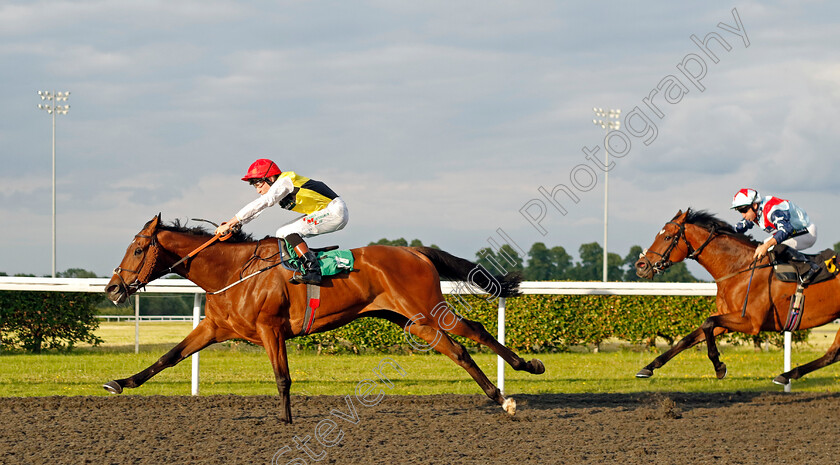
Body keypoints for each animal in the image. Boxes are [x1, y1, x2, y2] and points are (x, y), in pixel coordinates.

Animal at [103, 216, 544, 422]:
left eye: (138, 249)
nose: (112, 288)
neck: (233, 272)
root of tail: (416, 251)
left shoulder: (270, 328)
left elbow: (282, 377)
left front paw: (285, 420)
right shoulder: (214, 328)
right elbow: (169, 357)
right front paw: (119, 383)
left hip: (423, 311)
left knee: (472, 336)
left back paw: (518, 382)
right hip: (410, 320)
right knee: (460, 347)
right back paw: (506, 389)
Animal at [632, 208, 840, 386]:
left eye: (667, 237)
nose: (641, 265)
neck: (739, 267)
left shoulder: (751, 322)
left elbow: (708, 322)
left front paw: (719, 367)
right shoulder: (727, 319)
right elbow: (689, 338)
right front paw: (648, 368)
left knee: (833, 354)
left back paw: (786, 375)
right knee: (833, 354)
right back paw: (787, 375)